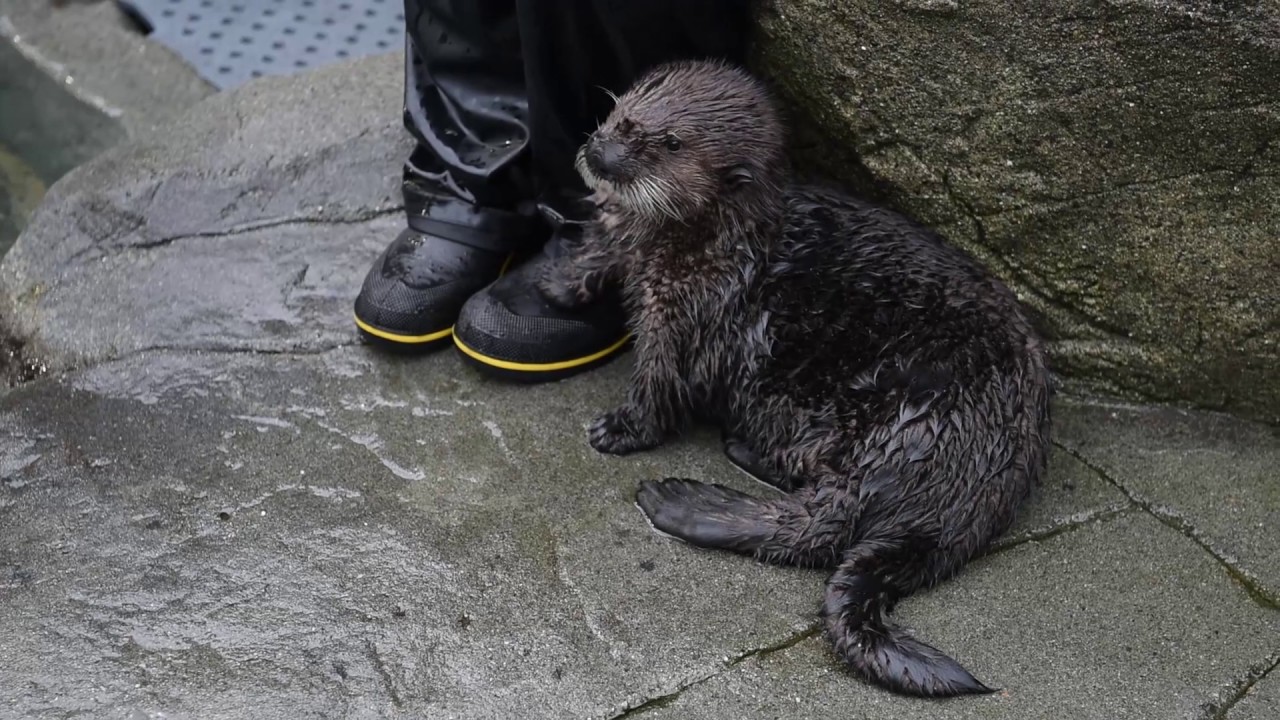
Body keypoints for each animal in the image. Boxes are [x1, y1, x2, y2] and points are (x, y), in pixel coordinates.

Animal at [540, 60, 1052, 698]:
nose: (601, 150)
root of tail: (971, 487)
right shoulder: (630, 247)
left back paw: (682, 494)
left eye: (671, 143)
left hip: (904, 415)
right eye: (622, 107)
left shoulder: (681, 307)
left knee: (812, 530)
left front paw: (619, 429)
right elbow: (601, 251)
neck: (706, 238)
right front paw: (558, 282)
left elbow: (661, 382)